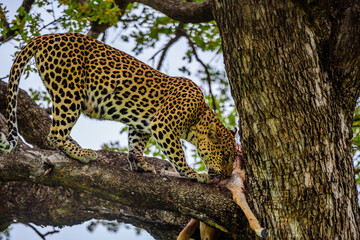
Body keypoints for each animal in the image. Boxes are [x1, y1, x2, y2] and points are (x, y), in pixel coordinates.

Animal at [0, 32, 238, 183]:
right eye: (226, 157)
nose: (227, 177)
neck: (200, 115)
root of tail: (46, 36)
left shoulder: (143, 125)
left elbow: (135, 144)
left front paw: (139, 163)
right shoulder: (163, 124)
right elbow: (177, 154)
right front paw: (193, 174)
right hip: (69, 92)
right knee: (55, 133)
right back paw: (82, 153)